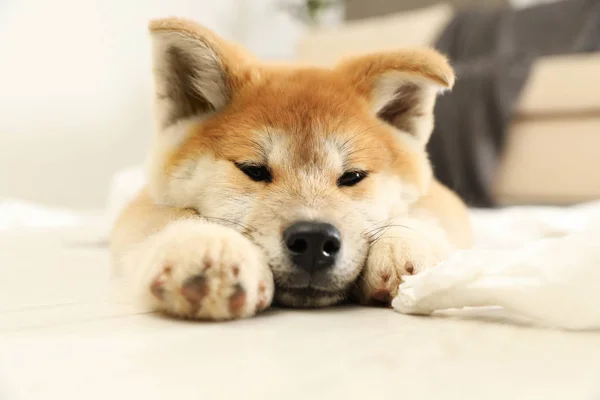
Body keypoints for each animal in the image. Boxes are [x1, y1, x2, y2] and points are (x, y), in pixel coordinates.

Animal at [110, 17, 472, 320]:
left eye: (352, 177)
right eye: (253, 170)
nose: (314, 239)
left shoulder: (442, 200)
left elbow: (422, 215)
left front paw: (406, 246)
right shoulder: (144, 205)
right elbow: (172, 218)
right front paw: (207, 245)